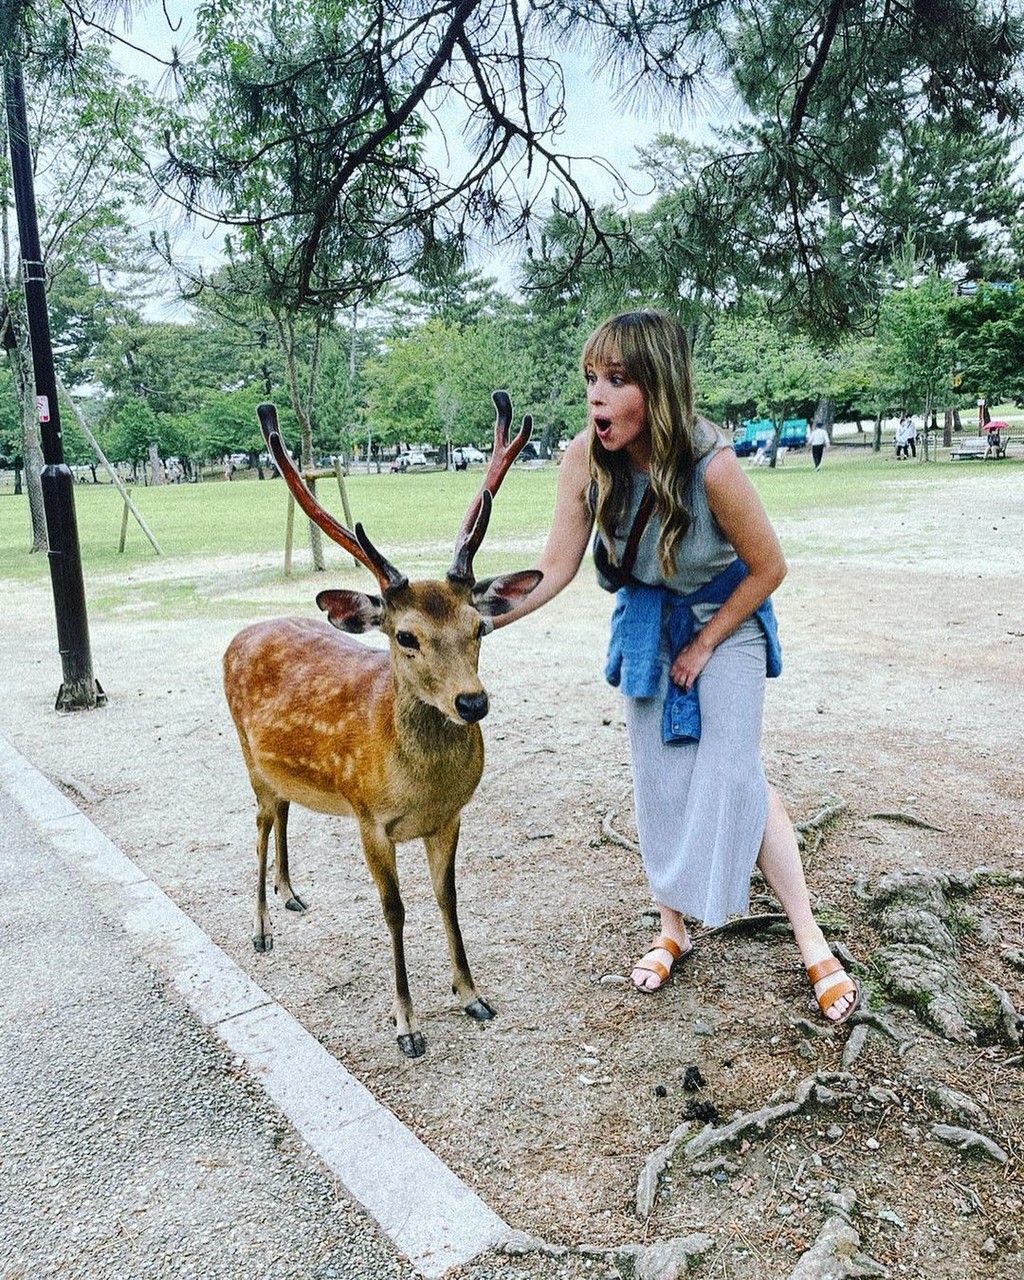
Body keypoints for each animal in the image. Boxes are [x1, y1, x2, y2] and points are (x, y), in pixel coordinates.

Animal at [224, 394, 542, 1054]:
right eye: (406, 636)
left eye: (480, 626)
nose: (472, 703)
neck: (419, 787)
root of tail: (238, 635)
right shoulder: (369, 817)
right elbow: (394, 910)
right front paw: (407, 1025)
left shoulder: (449, 817)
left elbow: (448, 897)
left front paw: (472, 995)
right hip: (249, 757)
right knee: (261, 823)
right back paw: (261, 927)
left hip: (284, 773)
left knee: (285, 812)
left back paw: (290, 895)